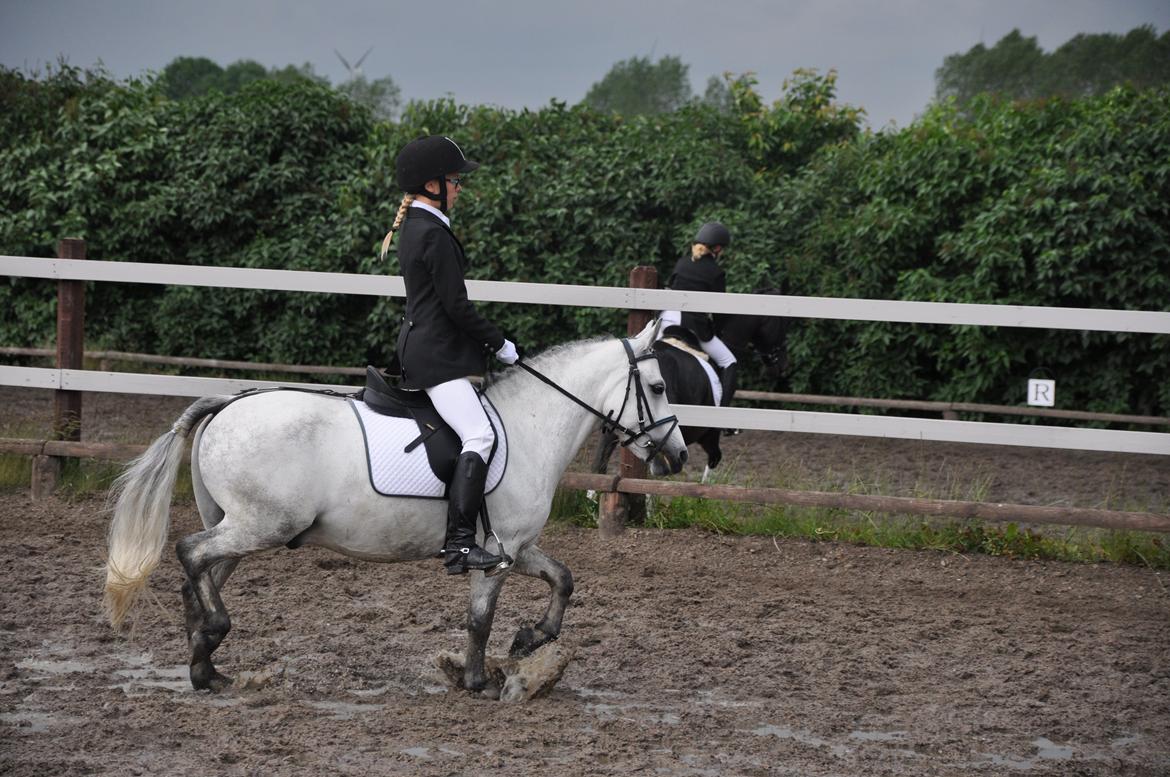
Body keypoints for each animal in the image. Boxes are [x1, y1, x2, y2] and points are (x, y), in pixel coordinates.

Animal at [103, 321, 688, 695]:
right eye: (659, 386)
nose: (679, 456)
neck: (528, 426)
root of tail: (228, 403)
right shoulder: (496, 553)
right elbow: (480, 619)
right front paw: (477, 681)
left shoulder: (516, 546)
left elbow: (562, 579)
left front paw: (530, 639)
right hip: (263, 525)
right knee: (189, 553)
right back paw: (211, 641)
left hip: (243, 528)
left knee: (197, 574)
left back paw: (206, 668)